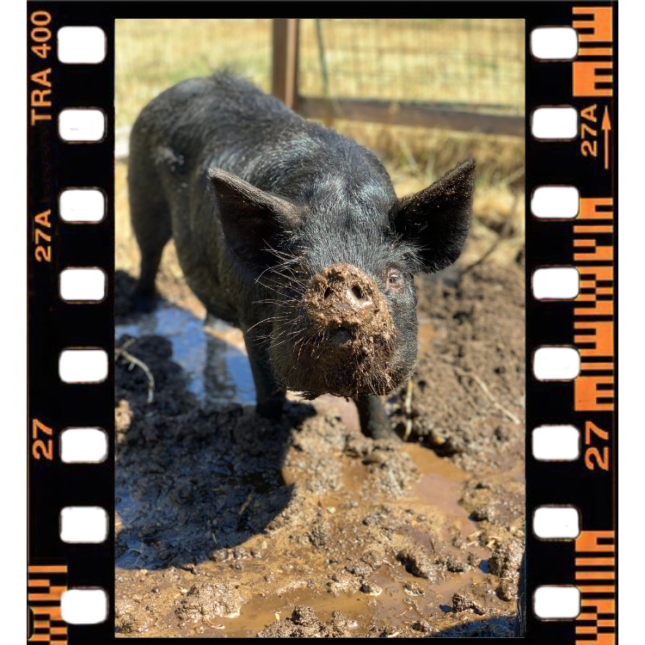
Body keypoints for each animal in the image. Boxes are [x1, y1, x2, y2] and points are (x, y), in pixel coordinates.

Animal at [128, 72, 475, 440]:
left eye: (394, 277)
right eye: (293, 273)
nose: (342, 277)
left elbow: (372, 399)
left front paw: (386, 442)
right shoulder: (253, 321)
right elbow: (268, 388)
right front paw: (264, 430)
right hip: (142, 192)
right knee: (149, 252)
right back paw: (142, 309)